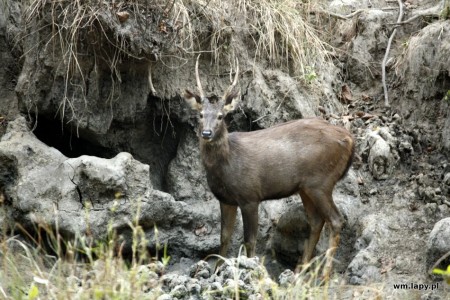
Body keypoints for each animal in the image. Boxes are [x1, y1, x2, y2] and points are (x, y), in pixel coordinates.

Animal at [185, 55, 354, 276]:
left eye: (221, 116)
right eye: (201, 115)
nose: (206, 133)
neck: (227, 166)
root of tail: (350, 139)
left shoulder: (250, 195)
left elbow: (249, 240)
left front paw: (251, 270)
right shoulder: (226, 199)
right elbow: (224, 237)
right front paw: (216, 271)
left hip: (321, 181)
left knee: (336, 220)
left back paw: (324, 274)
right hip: (306, 187)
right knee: (317, 222)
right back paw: (299, 271)